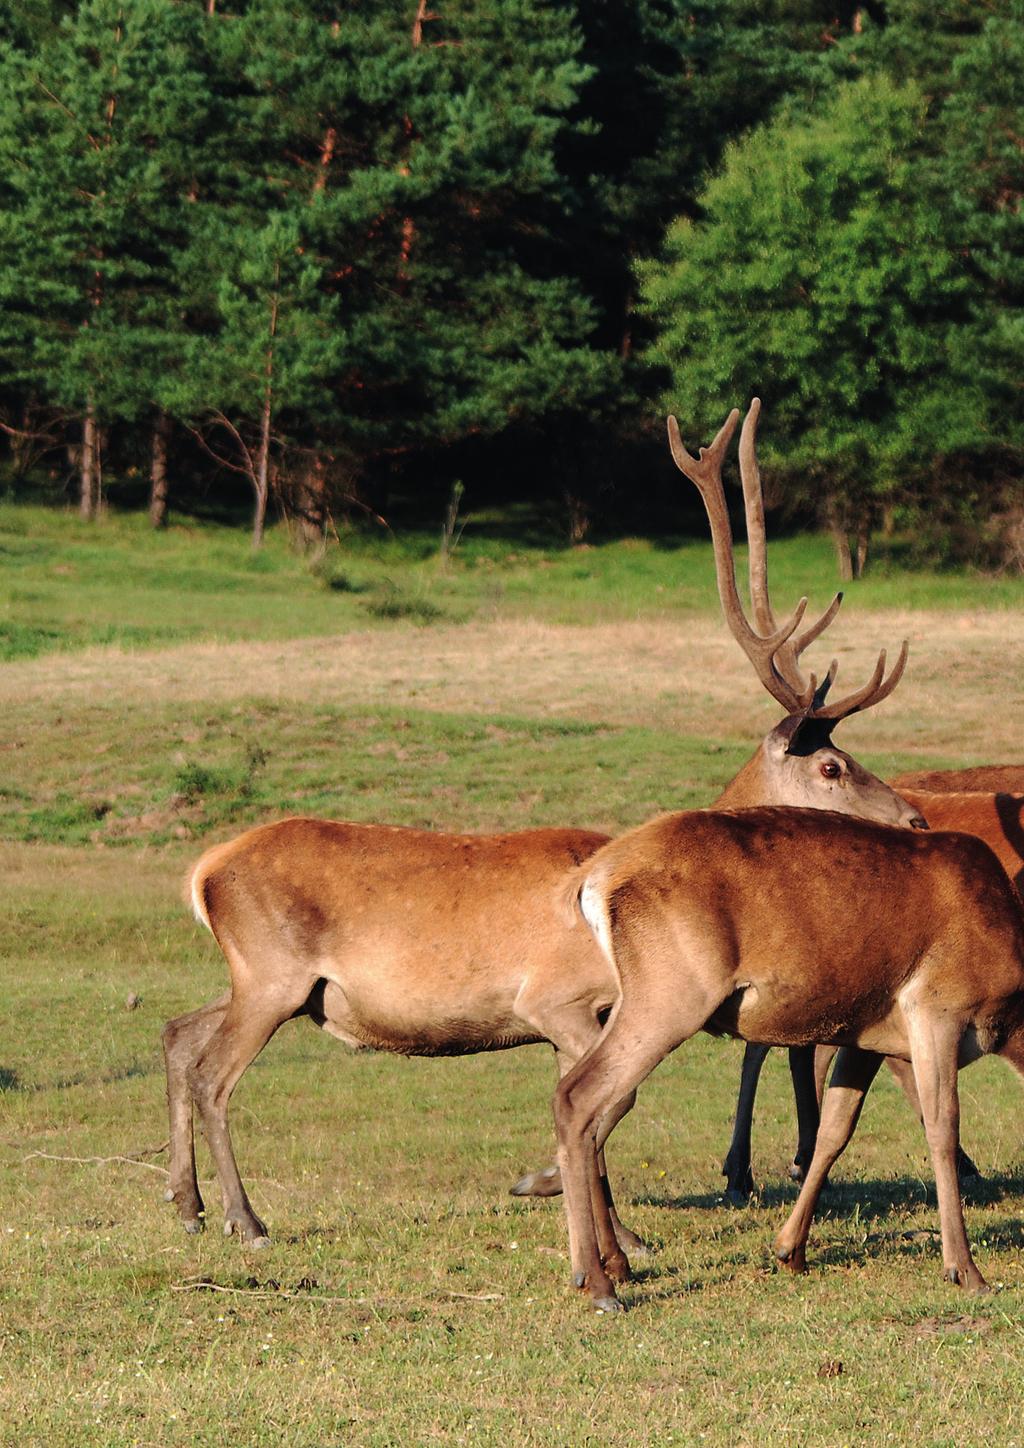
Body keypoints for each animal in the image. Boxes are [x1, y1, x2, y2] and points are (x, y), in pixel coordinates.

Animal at [162, 402, 921, 1251]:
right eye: (833, 767)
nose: (914, 815)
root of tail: (204, 870)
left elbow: (597, 1104)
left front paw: (616, 1230)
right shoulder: (556, 998)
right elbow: (611, 1101)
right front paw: (561, 1195)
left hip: (270, 982)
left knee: (178, 1034)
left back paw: (186, 1201)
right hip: (273, 972)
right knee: (213, 1072)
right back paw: (244, 1217)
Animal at [556, 805, 1024, 1314]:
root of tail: (590, 881)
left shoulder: (867, 1038)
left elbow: (833, 1131)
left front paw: (790, 1250)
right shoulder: (936, 1006)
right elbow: (941, 1128)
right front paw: (965, 1270)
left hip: (634, 999)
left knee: (592, 1106)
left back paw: (609, 1262)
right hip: (671, 994)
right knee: (578, 1095)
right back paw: (598, 1283)